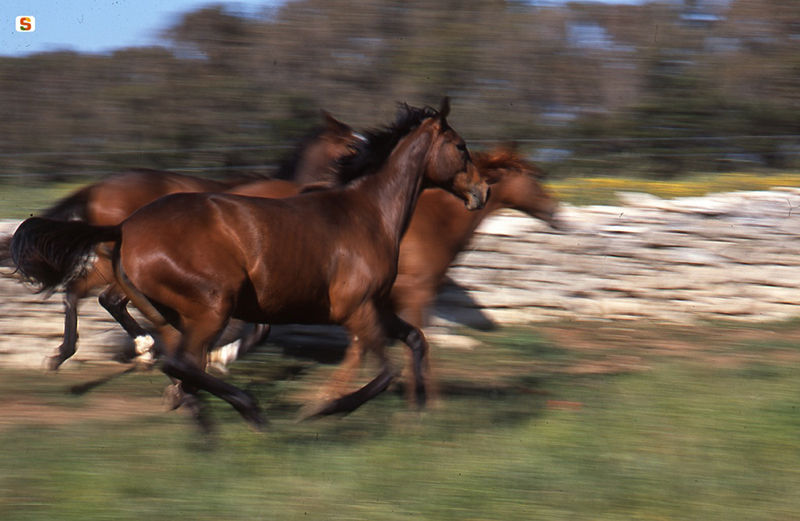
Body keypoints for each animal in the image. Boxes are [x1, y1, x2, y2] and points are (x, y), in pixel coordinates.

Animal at [2, 111, 360, 371]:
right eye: (354, 145)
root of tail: (99, 186)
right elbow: (254, 328)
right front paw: (218, 356)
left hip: (111, 264)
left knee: (81, 292)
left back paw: (75, 352)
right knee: (106, 298)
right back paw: (148, 348)